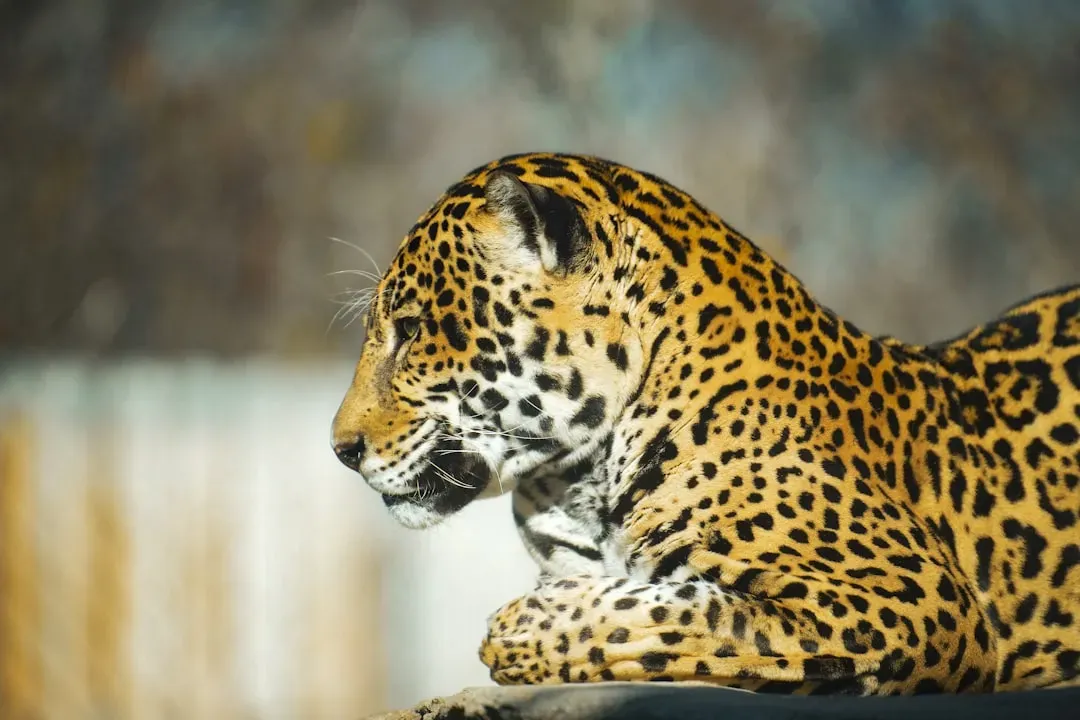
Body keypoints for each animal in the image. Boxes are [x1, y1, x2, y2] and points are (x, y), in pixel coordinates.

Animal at [330, 152, 1080, 697]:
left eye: (412, 329)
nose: (341, 449)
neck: (576, 478)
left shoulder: (911, 598)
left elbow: (684, 614)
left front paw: (522, 628)